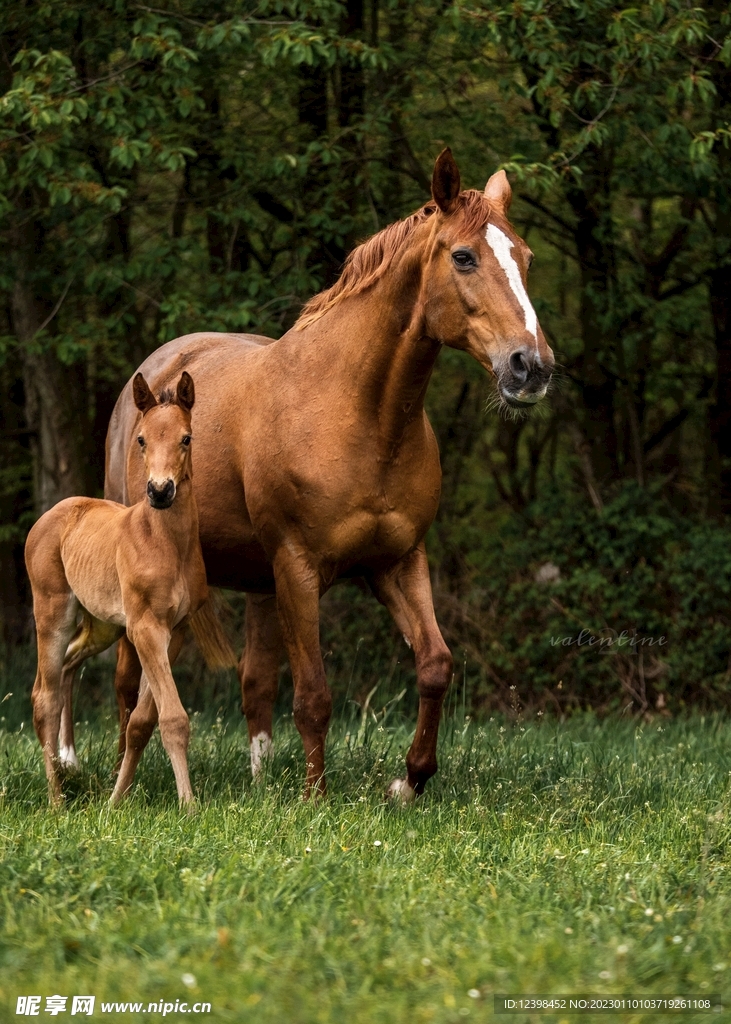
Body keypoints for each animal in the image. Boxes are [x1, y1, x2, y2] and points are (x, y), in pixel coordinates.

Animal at [26, 372, 230, 802]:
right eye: (141, 439)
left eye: (187, 438)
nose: (160, 491)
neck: (168, 544)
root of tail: (51, 515)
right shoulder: (145, 628)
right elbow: (173, 717)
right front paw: (189, 805)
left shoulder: (174, 631)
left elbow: (142, 721)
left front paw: (116, 799)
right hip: (52, 613)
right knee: (43, 697)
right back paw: (56, 800)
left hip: (103, 626)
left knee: (69, 663)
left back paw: (67, 772)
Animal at [100, 148, 552, 798]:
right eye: (464, 256)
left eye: (526, 258)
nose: (530, 367)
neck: (359, 412)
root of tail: (150, 376)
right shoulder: (298, 567)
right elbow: (313, 693)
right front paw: (314, 798)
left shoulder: (398, 561)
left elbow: (435, 665)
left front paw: (410, 781)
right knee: (123, 677)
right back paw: (102, 774)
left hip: (259, 582)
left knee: (254, 682)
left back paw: (258, 780)